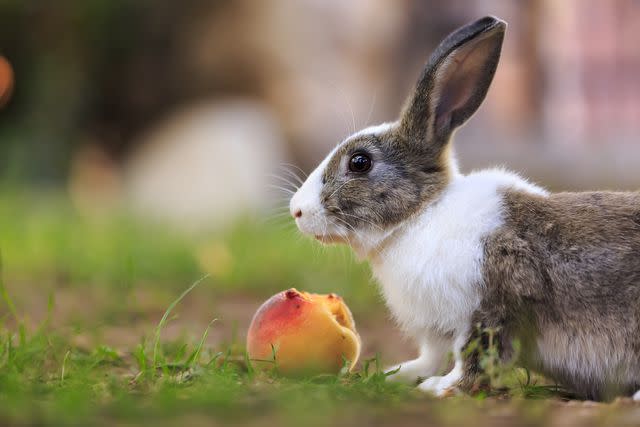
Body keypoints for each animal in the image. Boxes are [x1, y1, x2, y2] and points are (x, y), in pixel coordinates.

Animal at [288, 15, 640, 402]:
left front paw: (441, 388)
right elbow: (430, 356)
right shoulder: (435, 329)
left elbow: (476, 356)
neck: (420, 216)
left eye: (360, 162)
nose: (297, 211)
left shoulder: (489, 306)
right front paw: (397, 375)